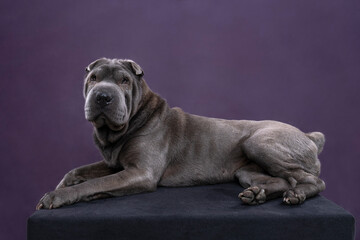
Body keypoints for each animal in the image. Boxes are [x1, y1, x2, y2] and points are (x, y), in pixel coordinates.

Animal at [36, 58, 326, 210]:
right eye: (93, 78)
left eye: (124, 81)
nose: (103, 96)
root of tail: (310, 135)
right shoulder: (114, 163)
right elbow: (77, 171)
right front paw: (63, 185)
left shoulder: (140, 172)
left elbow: (96, 184)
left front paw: (56, 197)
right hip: (246, 170)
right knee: (282, 180)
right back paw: (257, 194)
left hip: (259, 143)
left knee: (311, 180)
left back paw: (297, 195)